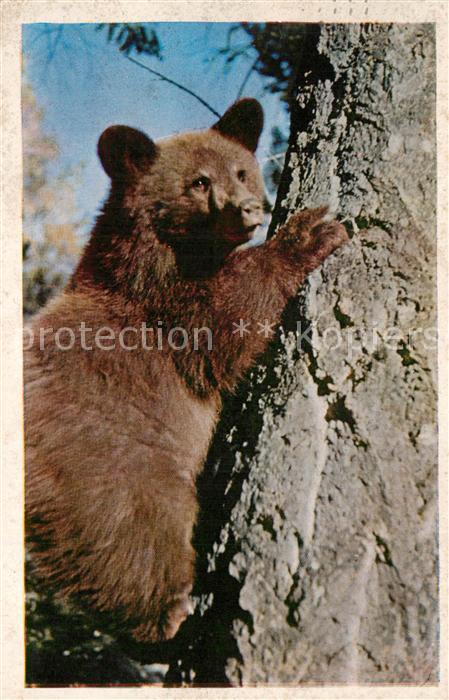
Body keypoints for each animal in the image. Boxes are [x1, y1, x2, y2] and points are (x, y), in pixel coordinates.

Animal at [25, 98, 348, 642]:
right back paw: (169, 613)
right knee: (137, 537)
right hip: (112, 469)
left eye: (241, 170)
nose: (249, 208)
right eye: (198, 182)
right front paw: (309, 233)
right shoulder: (160, 300)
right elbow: (223, 317)